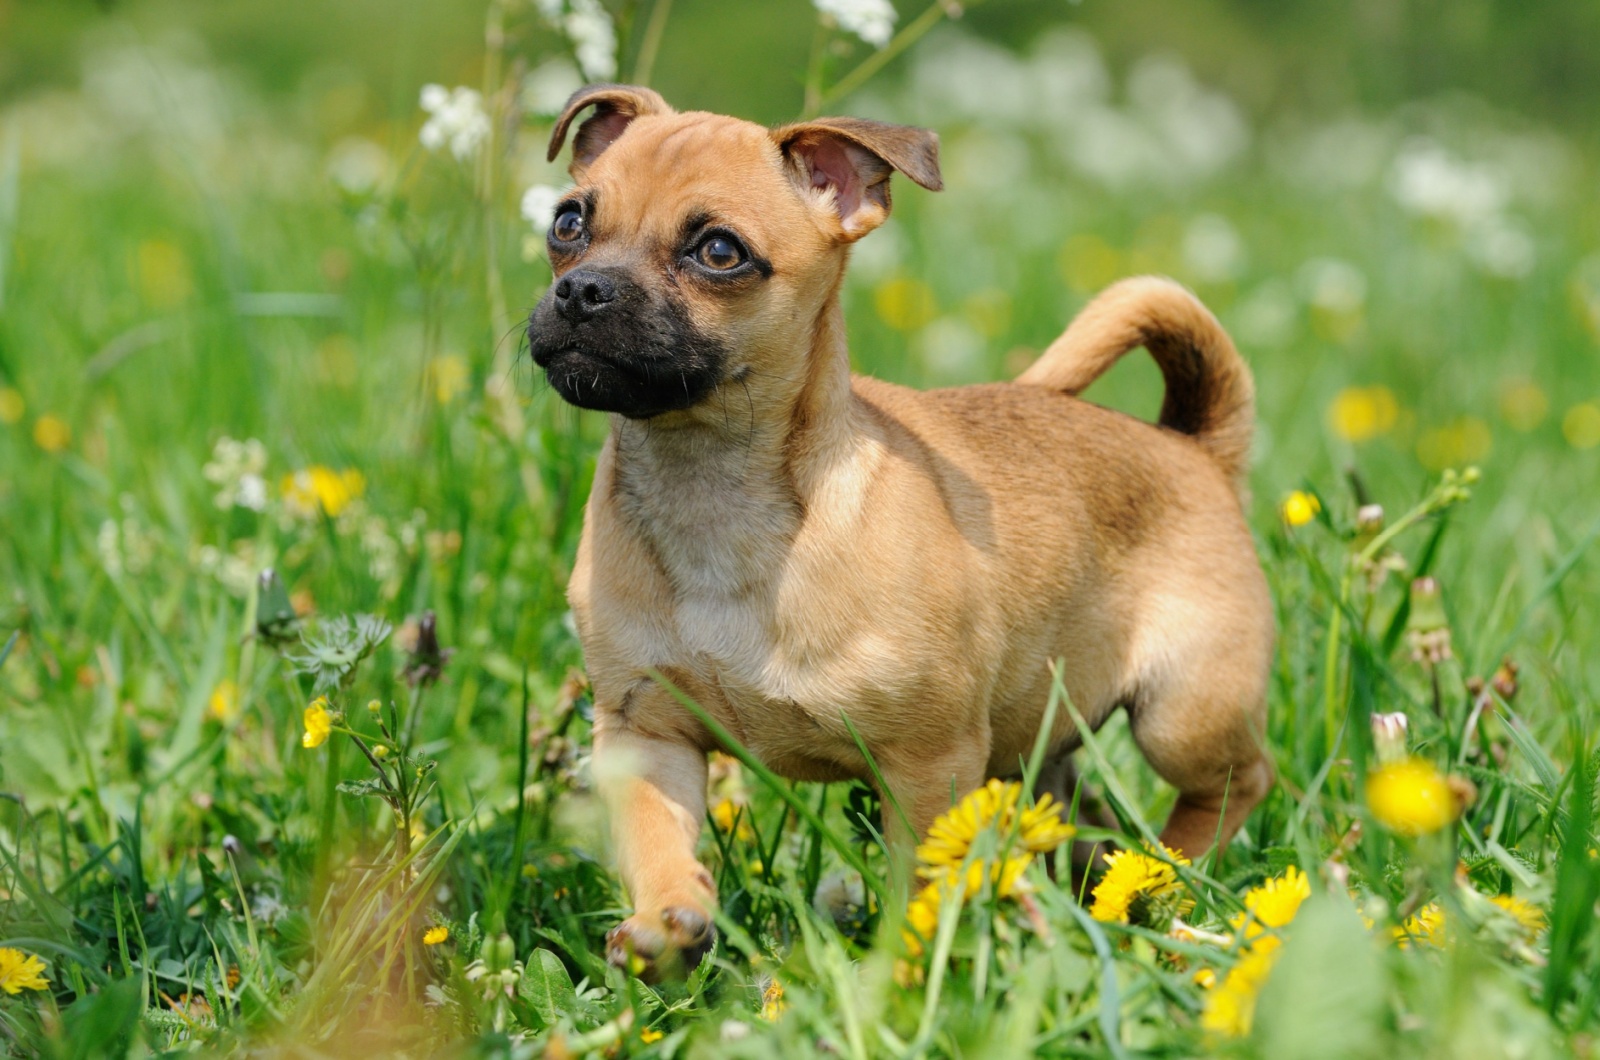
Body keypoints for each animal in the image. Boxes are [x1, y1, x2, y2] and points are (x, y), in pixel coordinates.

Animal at [524, 83, 1273, 979]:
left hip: (1182, 714)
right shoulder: (644, 733)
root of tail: (1194, 447)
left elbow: (922, 881)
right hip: (1045, 730)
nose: (582, 290)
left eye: (718, 252)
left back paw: (1171, 876)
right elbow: (654, 837)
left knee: (1240, 782)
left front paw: (910, 970)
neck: (707, 483)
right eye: (568, 223)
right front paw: (667, 919)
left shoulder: (928, 762)